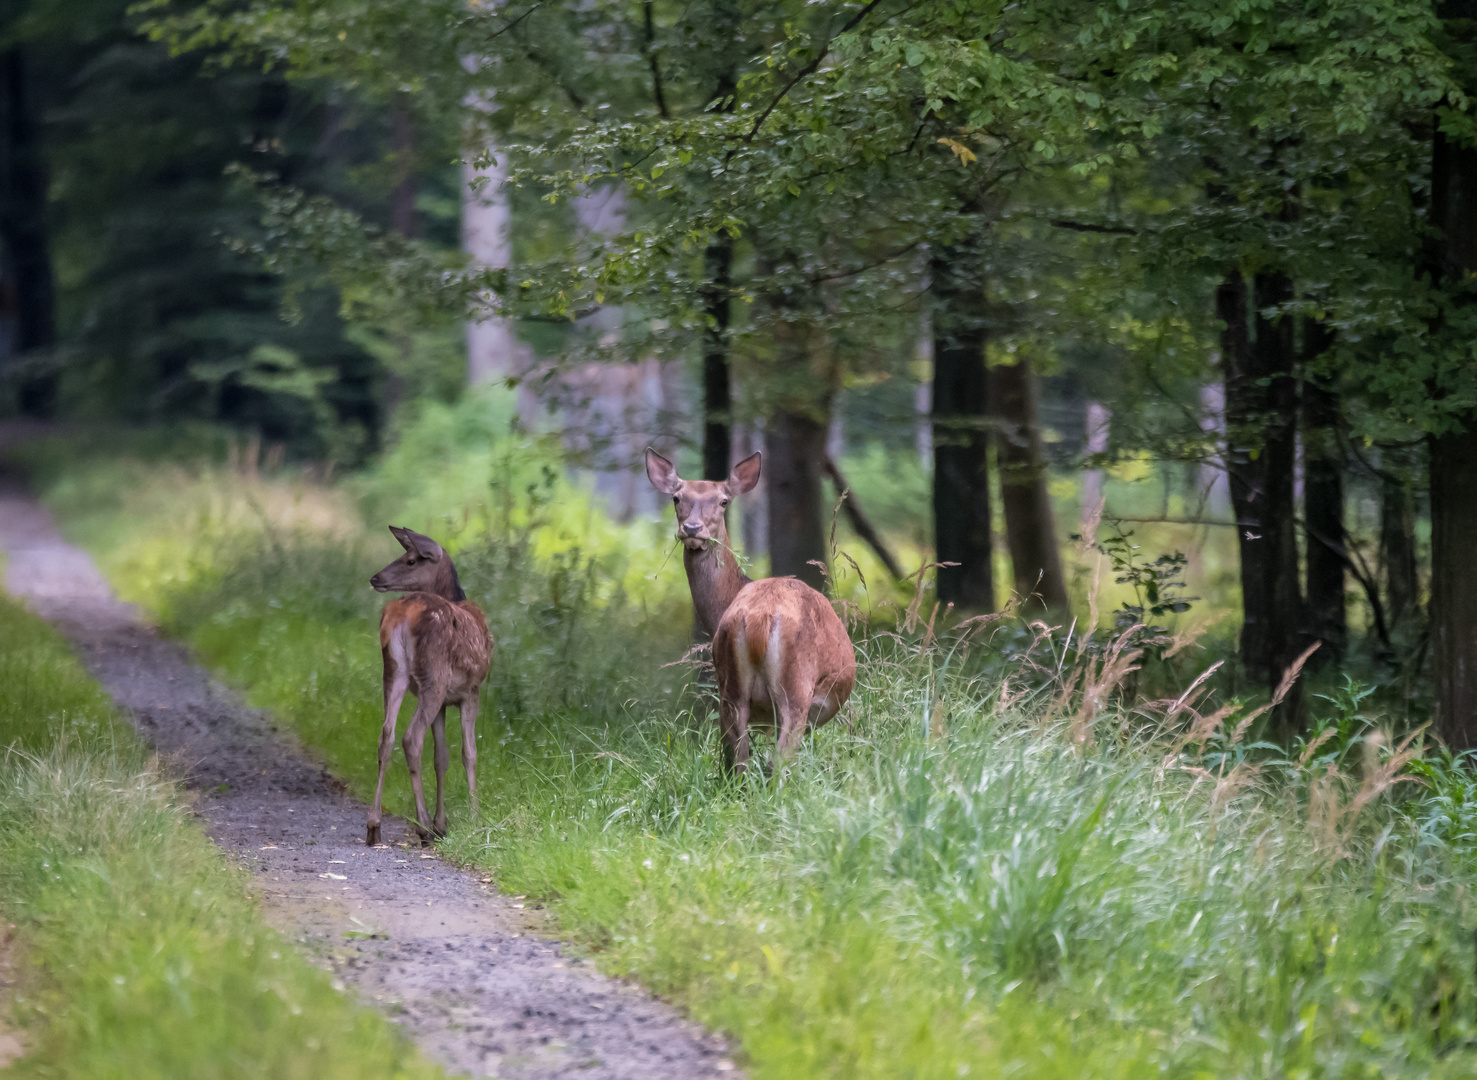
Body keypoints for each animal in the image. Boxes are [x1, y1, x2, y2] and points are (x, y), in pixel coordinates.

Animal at [366, 528, 493, 850]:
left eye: (410, 560)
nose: (375, 578)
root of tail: (402, 615)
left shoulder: (446, 702)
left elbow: (441, 757)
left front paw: (442, 823)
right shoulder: (471, 690)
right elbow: (469, 752)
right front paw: (475, 819)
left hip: (394, 672)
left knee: (386, 736)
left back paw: (374, 826)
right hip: (433, 678)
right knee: (411, 738)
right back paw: (422, 827)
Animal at [643, 449, 856, 780]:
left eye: (723, 501)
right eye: (676, 498)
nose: (692, 529)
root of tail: (758, 620)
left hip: (732, 691)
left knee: (740, 765)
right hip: (795, 690)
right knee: (777, 763)